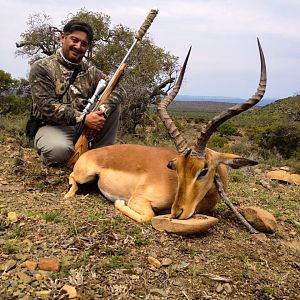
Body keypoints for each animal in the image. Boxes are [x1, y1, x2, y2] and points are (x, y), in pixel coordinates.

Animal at [64, 39, 266, 223]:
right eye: (177, 168)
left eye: (203, 171)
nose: (177, 211)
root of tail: (90, 153)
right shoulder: (138, 200)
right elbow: (148, 216)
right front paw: (120, 202)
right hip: (84, 175)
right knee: (72, 176)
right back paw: (69, 194)